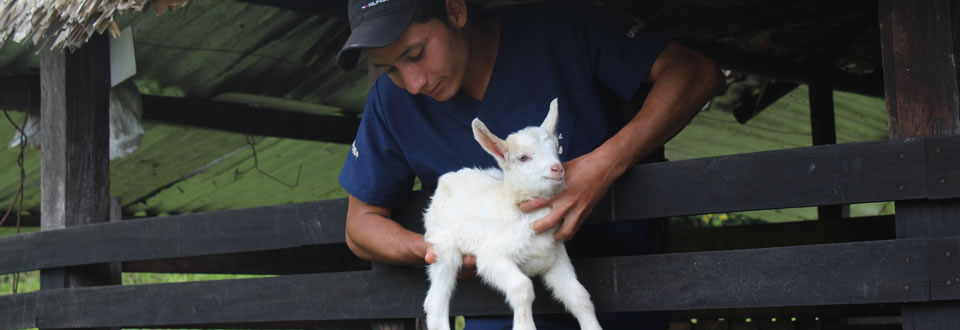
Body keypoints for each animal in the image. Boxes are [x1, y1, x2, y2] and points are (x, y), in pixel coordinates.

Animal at [422, 98, 600, 330]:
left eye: (557, 149)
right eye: (523, 157)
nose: (557, 169)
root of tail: (446, 180)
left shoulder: (554, 258)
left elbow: (579, 295)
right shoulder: (491, 257)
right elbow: (522, 288)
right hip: (444, 246)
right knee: (436, 298)